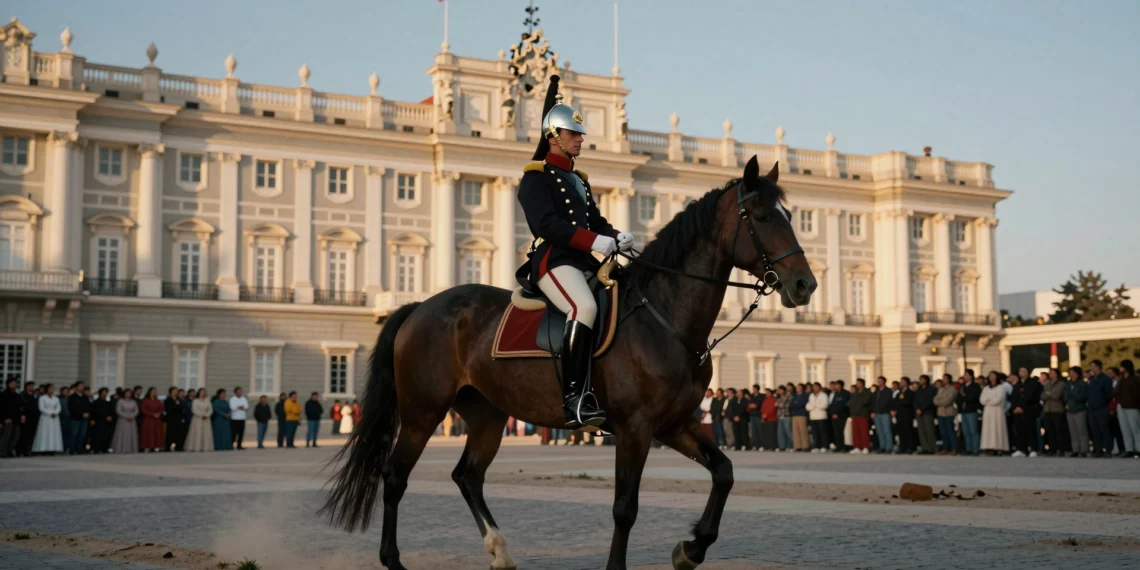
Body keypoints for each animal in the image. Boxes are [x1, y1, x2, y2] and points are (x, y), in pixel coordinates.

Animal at [322, 156, 817, 570]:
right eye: (762, 216)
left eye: (792, 217)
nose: (805, 285)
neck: (663, 316)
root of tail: (420, 307)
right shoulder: (636, 428)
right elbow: (625, 507)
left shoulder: (674, 423)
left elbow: (724, 473)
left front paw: (690, 549)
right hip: (423, 412)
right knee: (395, 476)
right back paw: (394, 560)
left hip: (486, 415)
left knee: (467, 475)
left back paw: (500, 552)